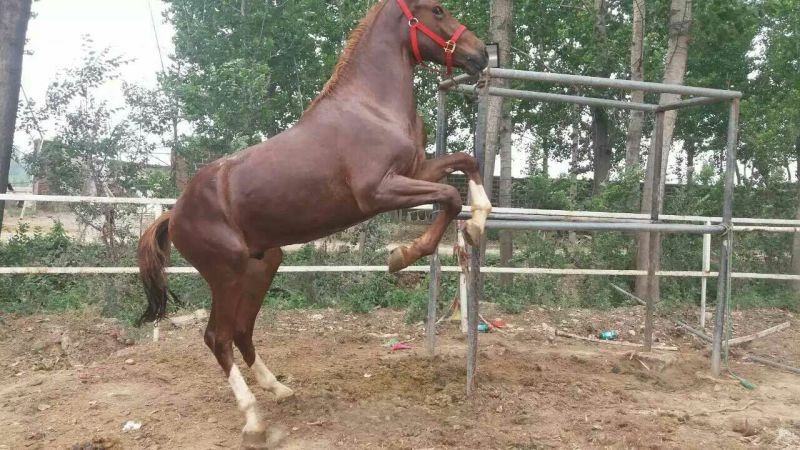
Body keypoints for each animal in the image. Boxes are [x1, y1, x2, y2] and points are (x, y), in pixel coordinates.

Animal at [137, 0, 489, 447]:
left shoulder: (416, 171)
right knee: (218, 336)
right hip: (226, 272)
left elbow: (466, 162)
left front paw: (478, 222)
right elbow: (449, 196)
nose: (481, 54)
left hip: (262, 265)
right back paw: (254, 418)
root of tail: (175, 211)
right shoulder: (379, 191)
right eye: (438, 10)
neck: (371, 107)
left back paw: (278, 388)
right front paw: (403, 255)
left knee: (242, 330)